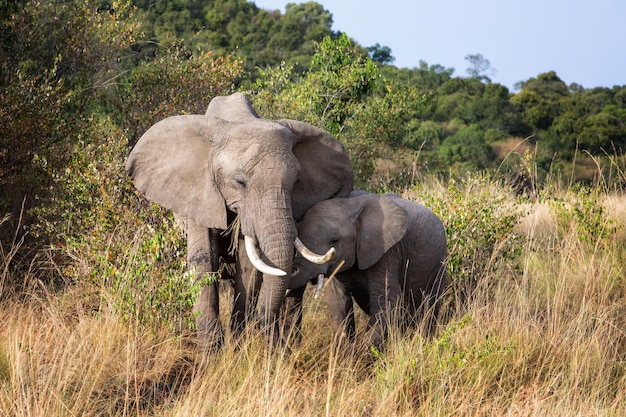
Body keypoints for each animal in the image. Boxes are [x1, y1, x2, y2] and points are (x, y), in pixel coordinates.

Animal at [125, 93, 352, 348]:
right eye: (240, 182)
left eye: (296, 183)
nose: (272, 342)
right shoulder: (200, 191)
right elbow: (203, 258)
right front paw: (212, 352)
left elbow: (248, 266)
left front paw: (235, 348)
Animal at [288, 190, 444, 350]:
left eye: (334, 240)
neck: (351, 207)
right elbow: (339, 303)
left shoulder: (387, 251)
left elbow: (387, 300)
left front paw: (363, 354)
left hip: (437, 265)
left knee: (428, 310)